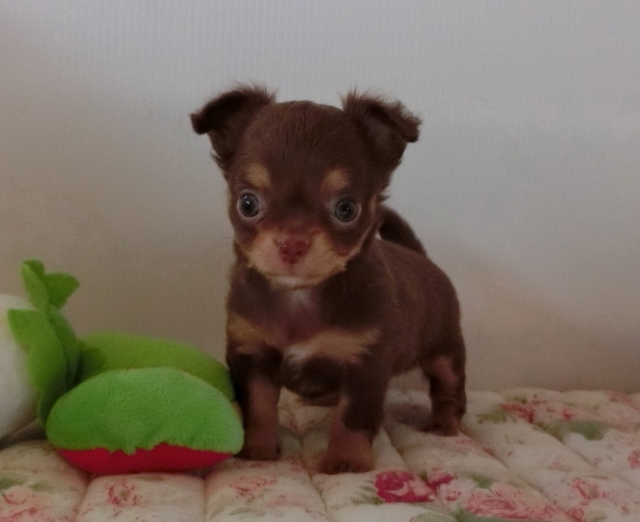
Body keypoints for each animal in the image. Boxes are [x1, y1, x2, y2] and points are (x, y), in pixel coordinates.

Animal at [191, 86, 466, 474]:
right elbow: (258, 406)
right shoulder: (252, 355)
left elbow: (352, 418)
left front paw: (346, 462)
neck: (299, 295)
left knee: (449, 386)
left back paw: (445, 423)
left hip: (446, 350)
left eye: (346, 209)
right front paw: (259, 451)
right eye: (247, 203)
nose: (292, 242)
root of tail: (422, 258)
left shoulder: (365, 366)